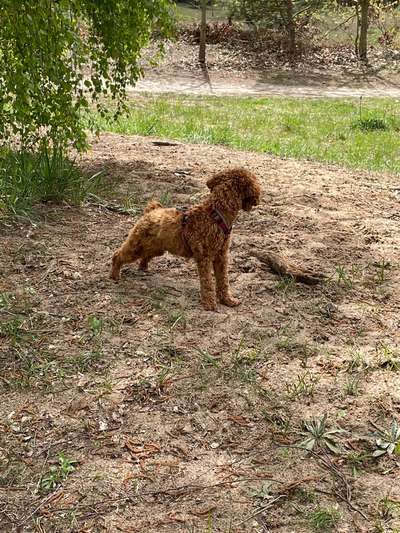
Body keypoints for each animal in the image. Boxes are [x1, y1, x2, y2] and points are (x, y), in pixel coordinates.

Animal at [109, 168, 260, 310]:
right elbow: (207, 282)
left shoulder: (221, 256)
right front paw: (209, 303)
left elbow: (223, 281)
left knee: (145, 255)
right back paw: (114, 275)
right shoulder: (205, 258)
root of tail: (151, 211)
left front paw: (227, 300)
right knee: (118, 255)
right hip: (137, 245)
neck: (216, 214)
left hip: (156, 248)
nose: (257, 199)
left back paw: (143, 267)